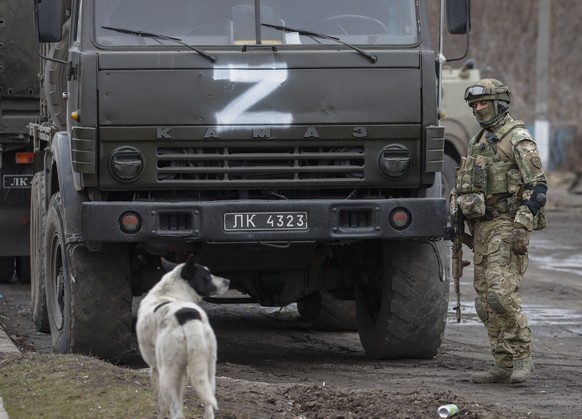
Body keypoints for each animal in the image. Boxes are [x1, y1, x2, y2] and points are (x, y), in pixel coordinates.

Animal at [137, 254, 230, 418]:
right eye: (207, 275)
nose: (229, 281)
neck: (169, 292)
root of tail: (188, 317)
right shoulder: (184, 373)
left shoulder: (154, 369)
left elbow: (161, 406)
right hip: (208, 371)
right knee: (208, 410)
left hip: (167, 375)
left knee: (176, 412)